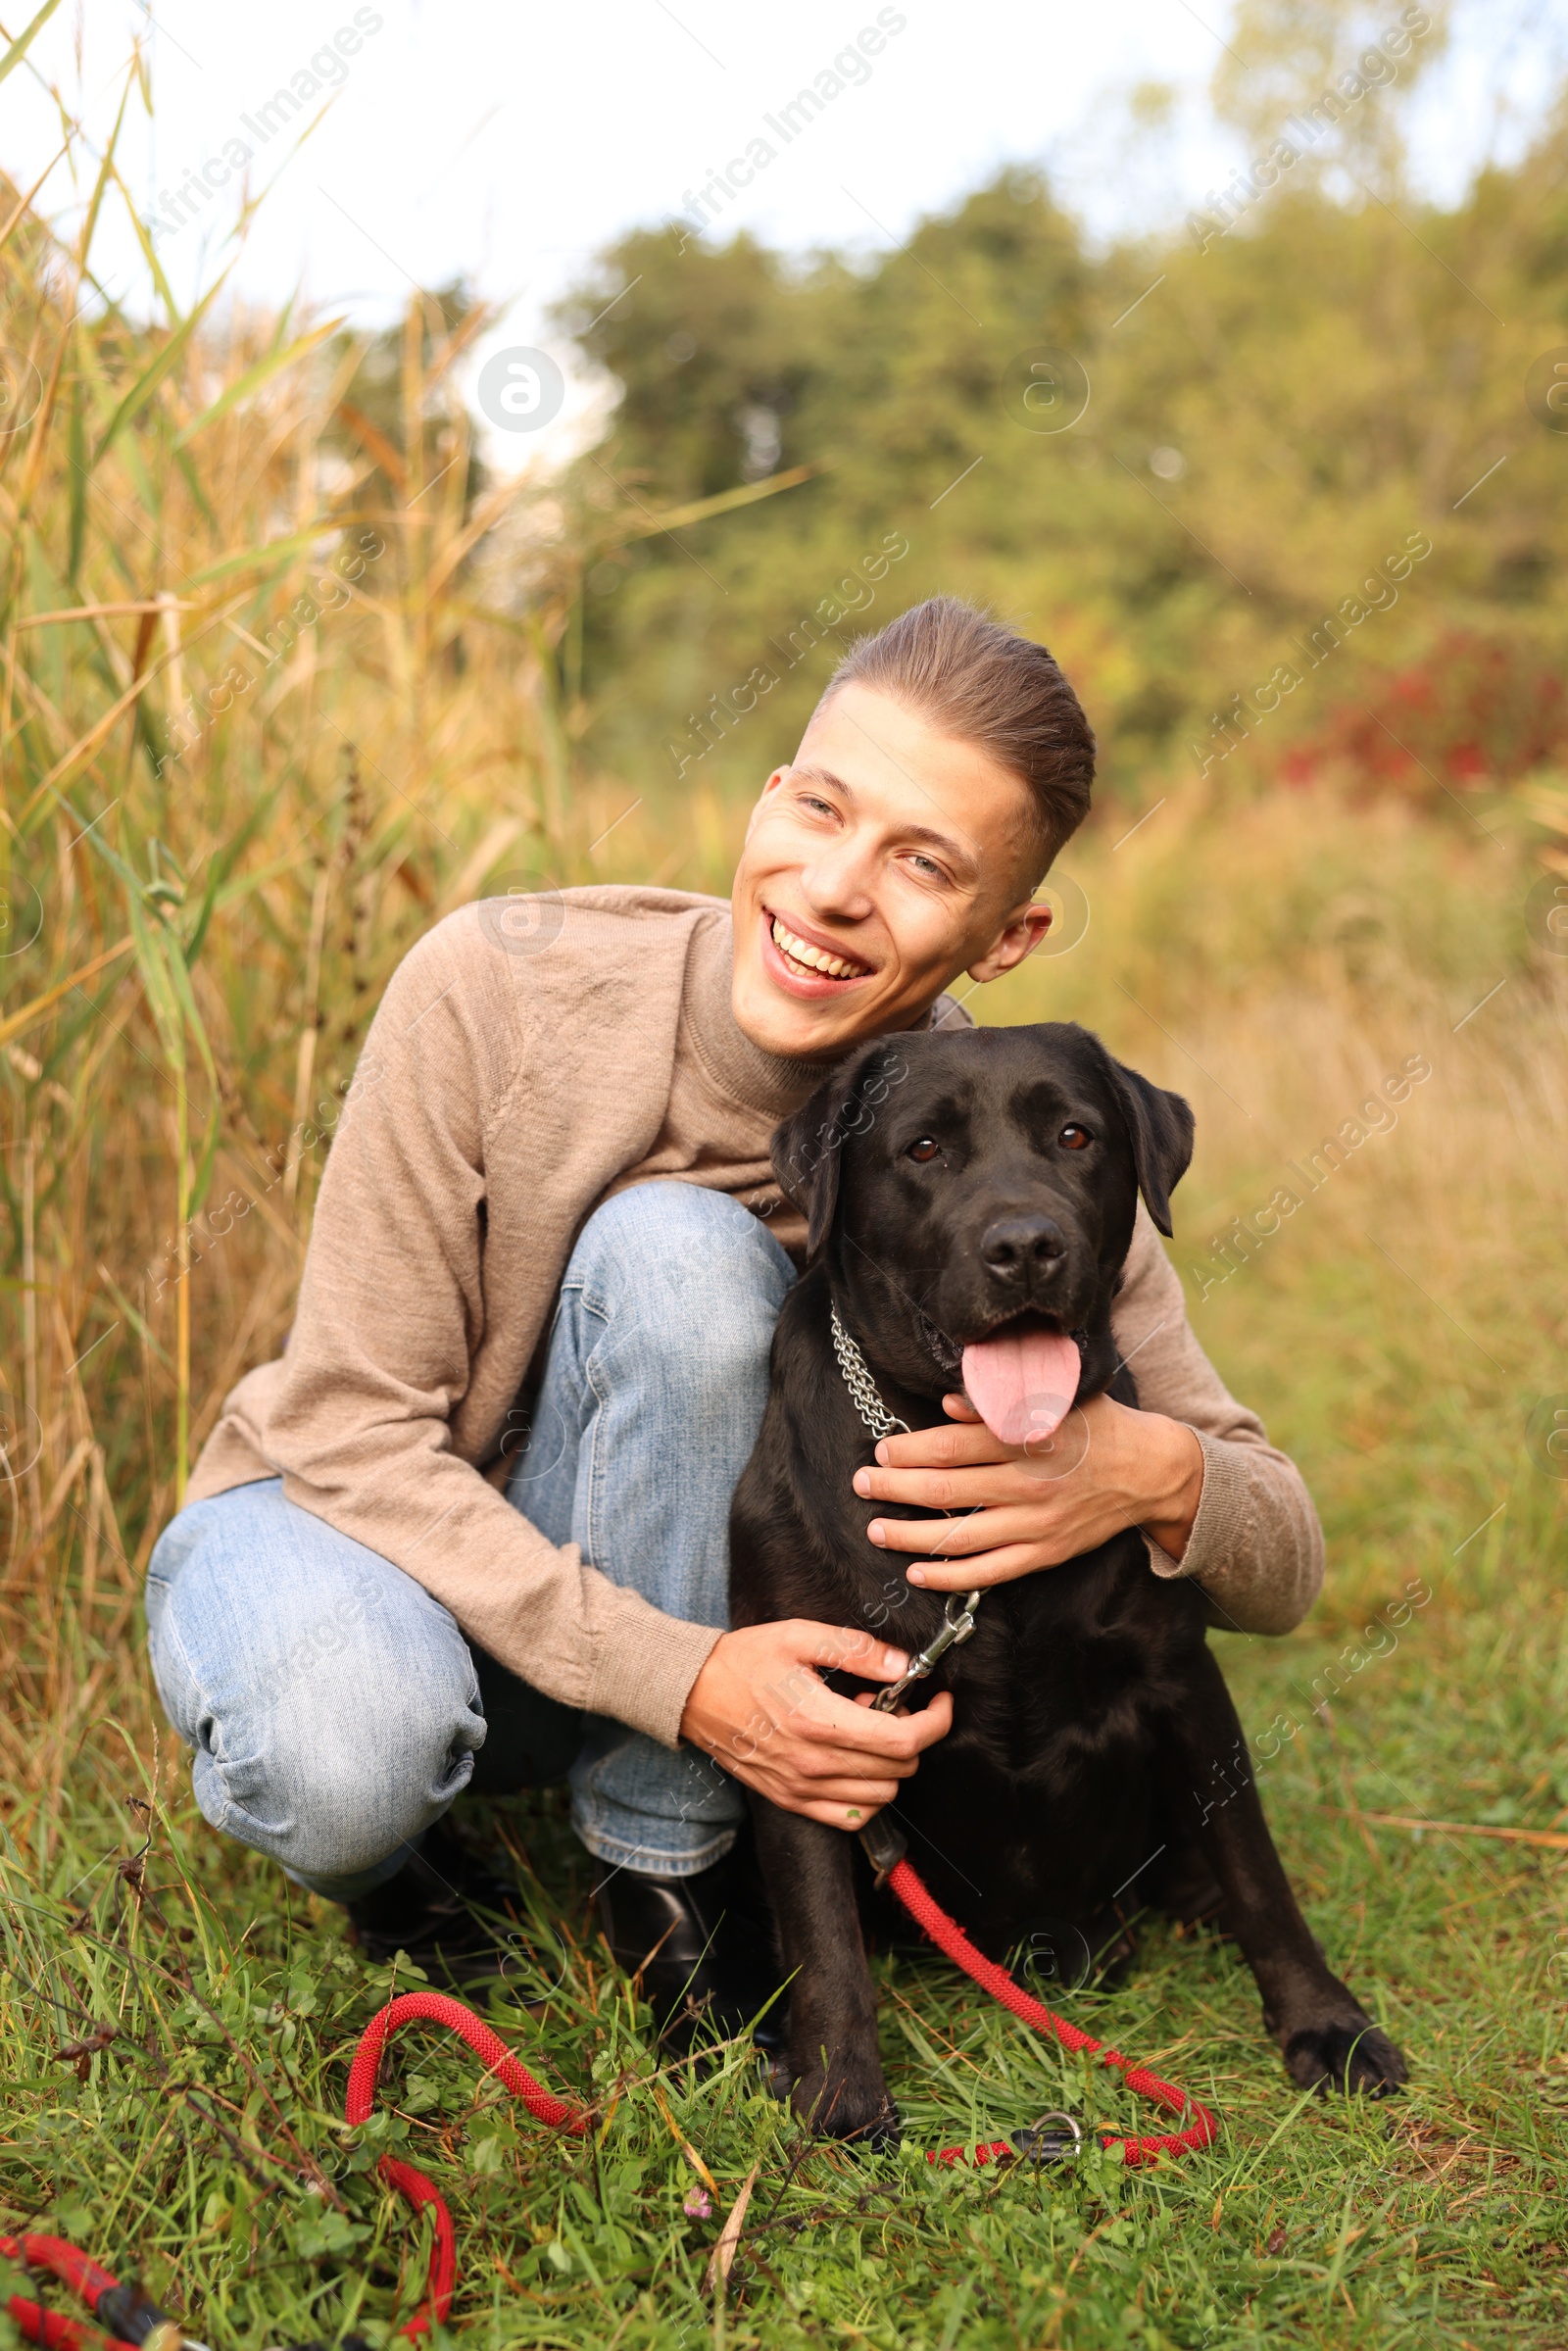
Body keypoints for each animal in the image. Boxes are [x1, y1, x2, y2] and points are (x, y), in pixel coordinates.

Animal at [728, 1020, 1400, 2143]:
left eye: (1076, 1136)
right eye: (922, 1149)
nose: (1026, 1244)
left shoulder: (1182, 1680)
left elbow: (1258, 1873)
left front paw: (1326, 2024)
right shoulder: (809, 1714)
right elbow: (823, 1929)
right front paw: (842, 2098)